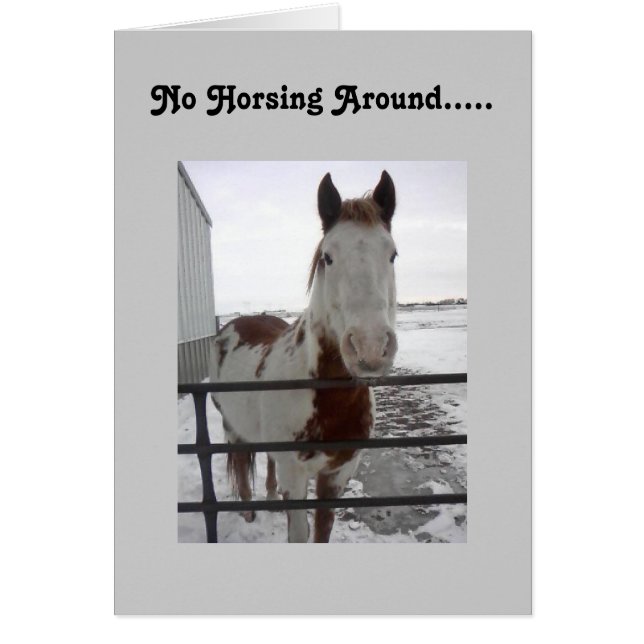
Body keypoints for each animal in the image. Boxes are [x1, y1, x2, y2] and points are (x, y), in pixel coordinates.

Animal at [209, 171, 398, 542]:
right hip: (234, 428)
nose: (370, 348)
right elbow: (299, 532)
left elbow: (321, 530)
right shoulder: (295, 475)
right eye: (328, 257)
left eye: (393, 255)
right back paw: (249, 514)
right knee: (240, 465)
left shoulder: (338, 473)